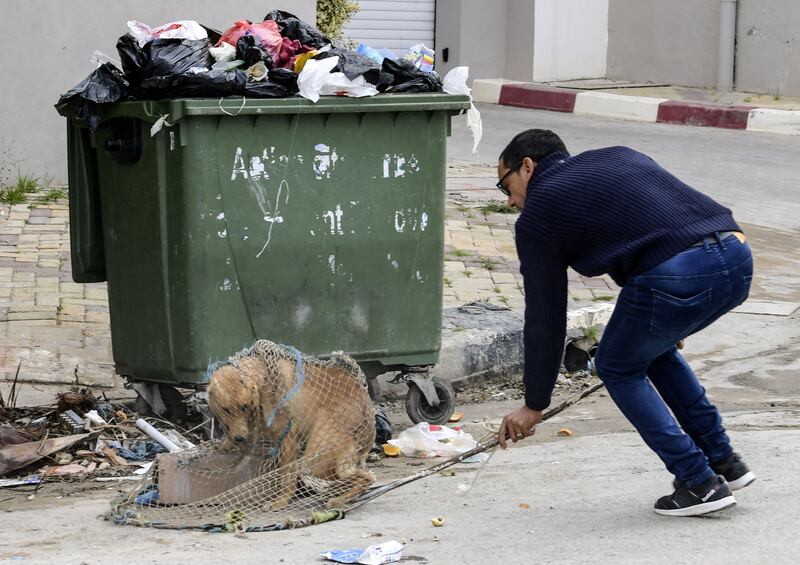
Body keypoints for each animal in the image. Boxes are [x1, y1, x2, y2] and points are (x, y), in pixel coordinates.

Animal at [209, 344, 378, 512]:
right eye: (225, 409)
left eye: (245, 407)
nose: (239, 438)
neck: (264, 379)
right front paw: (226, 443)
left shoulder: (288, 440)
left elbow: (287, 476)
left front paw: (281, 501)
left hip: (317, 455)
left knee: (367, 477)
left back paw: (340, 499)